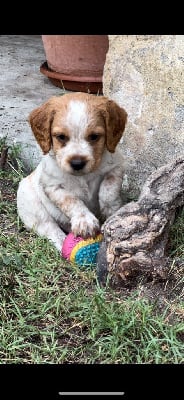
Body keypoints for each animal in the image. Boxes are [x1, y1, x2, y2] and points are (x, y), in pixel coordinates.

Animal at [16, 92, 126, 252]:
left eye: (94, 136)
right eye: (61, 137)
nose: (77, 163)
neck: (83, 176)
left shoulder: (116, 167)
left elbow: (108, 190)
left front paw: (112, 210)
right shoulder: (53, 186)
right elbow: (72, 200)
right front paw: (84, 221)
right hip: (33, 209)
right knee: (51, 230)